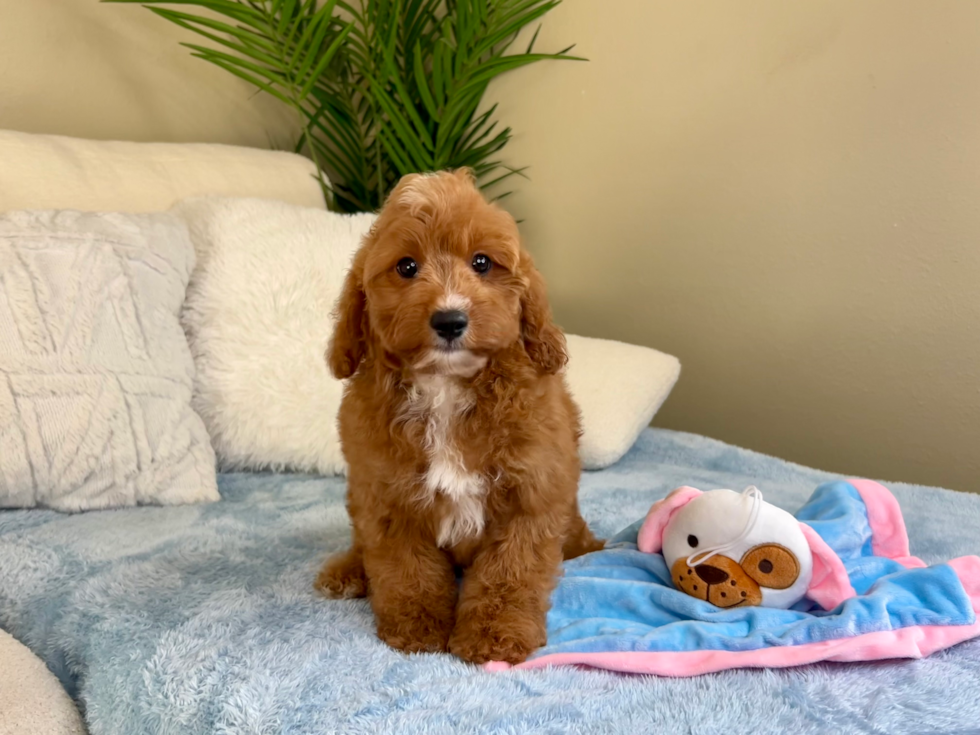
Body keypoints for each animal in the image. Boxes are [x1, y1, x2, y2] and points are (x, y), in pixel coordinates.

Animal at [318, 170, 600, 664]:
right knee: (362, 544)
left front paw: (494, 636)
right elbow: (405, 570)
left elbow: (509, 574)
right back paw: (348, 571)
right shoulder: (387, 498)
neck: (446, 387)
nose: (450, 320)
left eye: (482, 263)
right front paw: (416, 626)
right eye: (407, 267)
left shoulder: (531, 497)